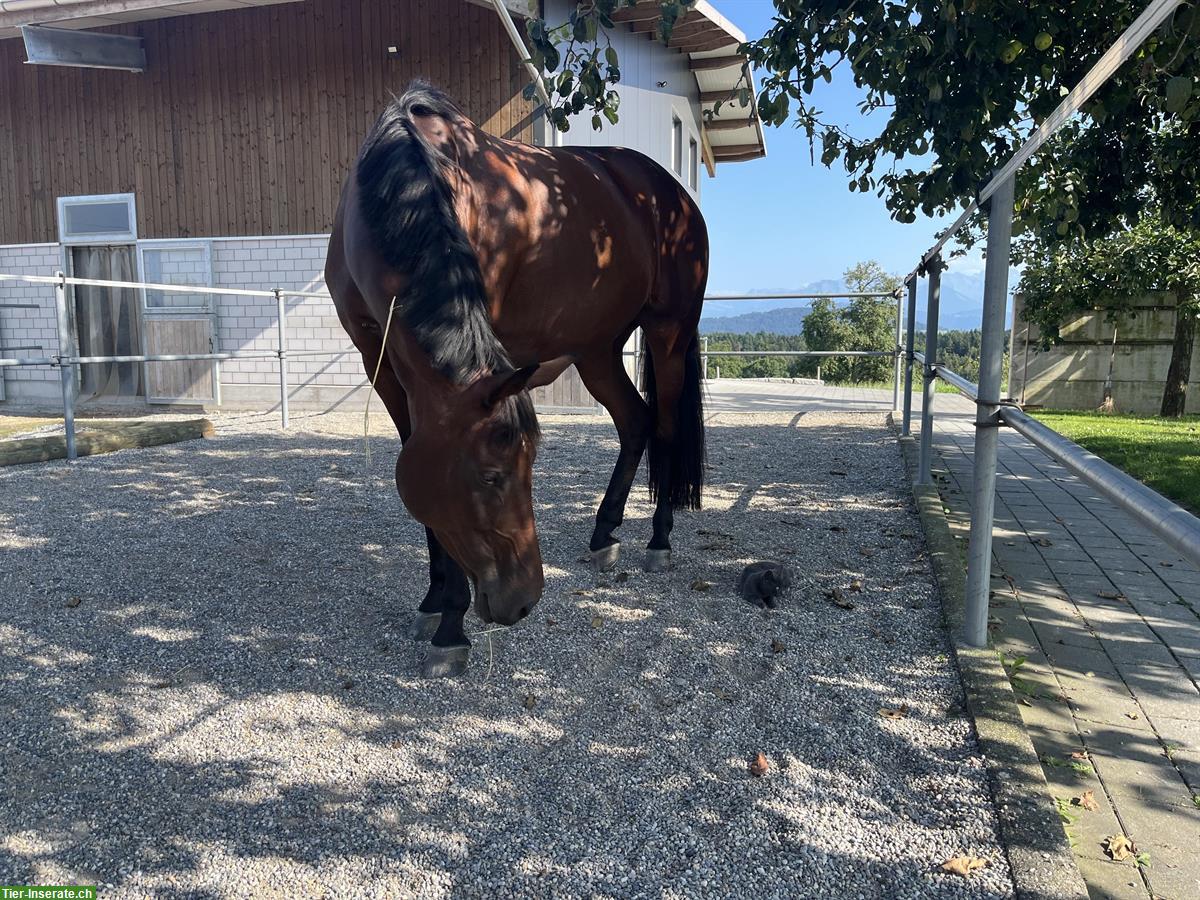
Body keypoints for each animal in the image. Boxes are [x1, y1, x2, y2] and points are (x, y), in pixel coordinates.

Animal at [324, 84, 705, 676]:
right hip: (597, 350)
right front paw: (434, 602)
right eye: (491, 476)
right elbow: (417, 461)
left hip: (668, 334)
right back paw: (604, 532)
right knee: (635, 423)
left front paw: (451, 627)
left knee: (663, 426)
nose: (524, 601)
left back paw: (658, 541)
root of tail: (672, 195)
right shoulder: (379, 361)